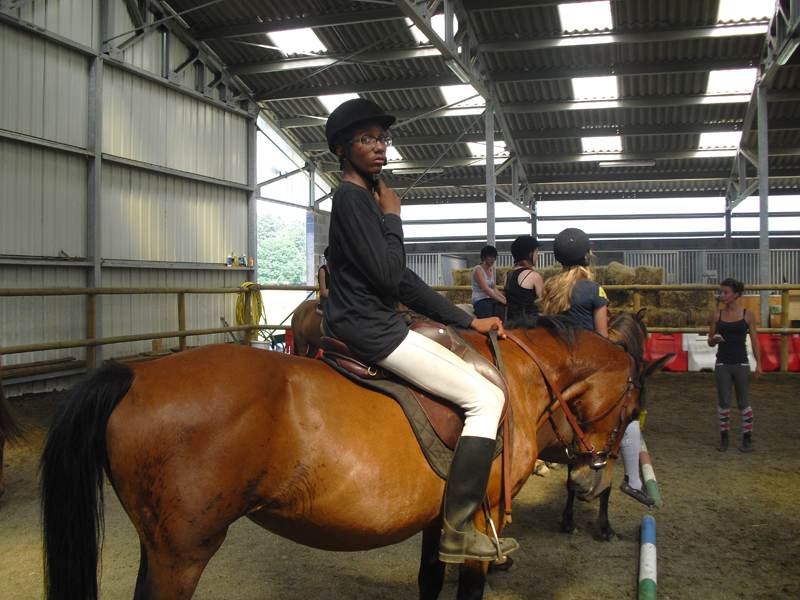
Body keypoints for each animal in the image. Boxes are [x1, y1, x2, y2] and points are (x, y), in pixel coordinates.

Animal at [40, 324, 652, 600]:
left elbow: (430, 579)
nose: (592, 482)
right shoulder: (481, 520)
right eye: (630, 409)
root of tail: (133, 375)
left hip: (160, 547)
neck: (517, 381)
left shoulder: (441, 519)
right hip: (183, 554)